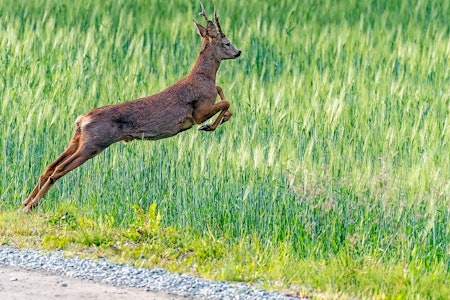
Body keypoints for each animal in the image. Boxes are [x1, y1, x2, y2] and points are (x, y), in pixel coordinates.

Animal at [19, 3, 241, 212]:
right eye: (227, 42)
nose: (238, 52)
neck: (204, 76)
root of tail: (81, 120)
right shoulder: (198, 111)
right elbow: (226, 102)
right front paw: (209, 126)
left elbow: (222, 92)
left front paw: (217, 122)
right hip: (94, 144)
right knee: (57, 170)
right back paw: (31, 206)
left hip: (78, 140)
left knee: (49, 166)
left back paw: (24, 203)